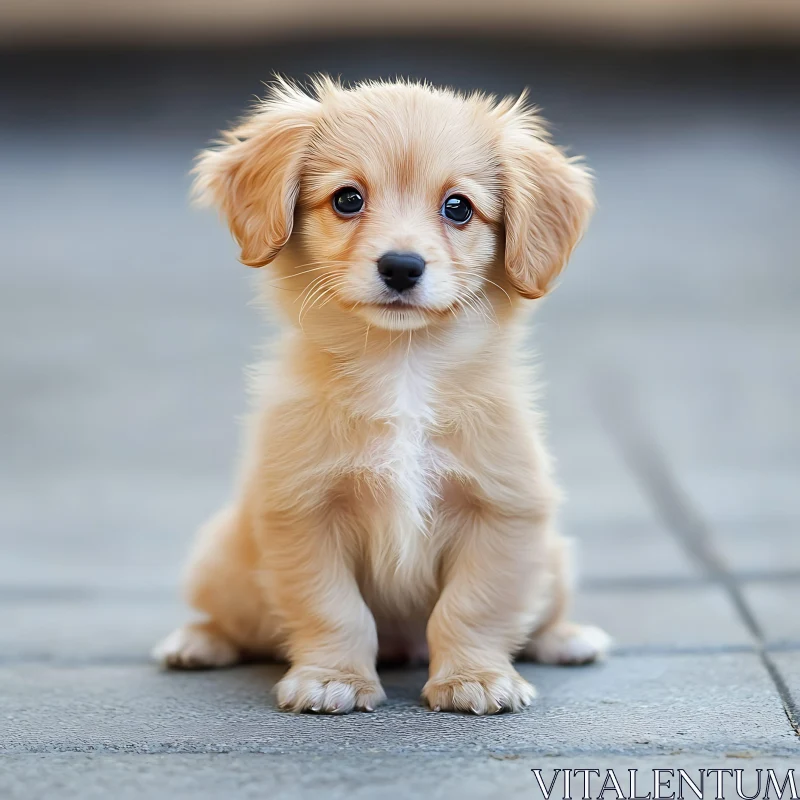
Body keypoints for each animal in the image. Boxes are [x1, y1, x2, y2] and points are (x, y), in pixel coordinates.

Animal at [153, 76, 608, 712]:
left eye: (458, 208)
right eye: (347, 199)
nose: (401, 266)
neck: (403, 370)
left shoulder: (505, 512)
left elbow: (473, 607)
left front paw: (474, 677)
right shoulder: (303, 514)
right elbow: (333, 608)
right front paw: (332, 678)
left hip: (556, 558)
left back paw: (566, 638)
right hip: (220, 561)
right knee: (230, 621)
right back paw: (197, 641)